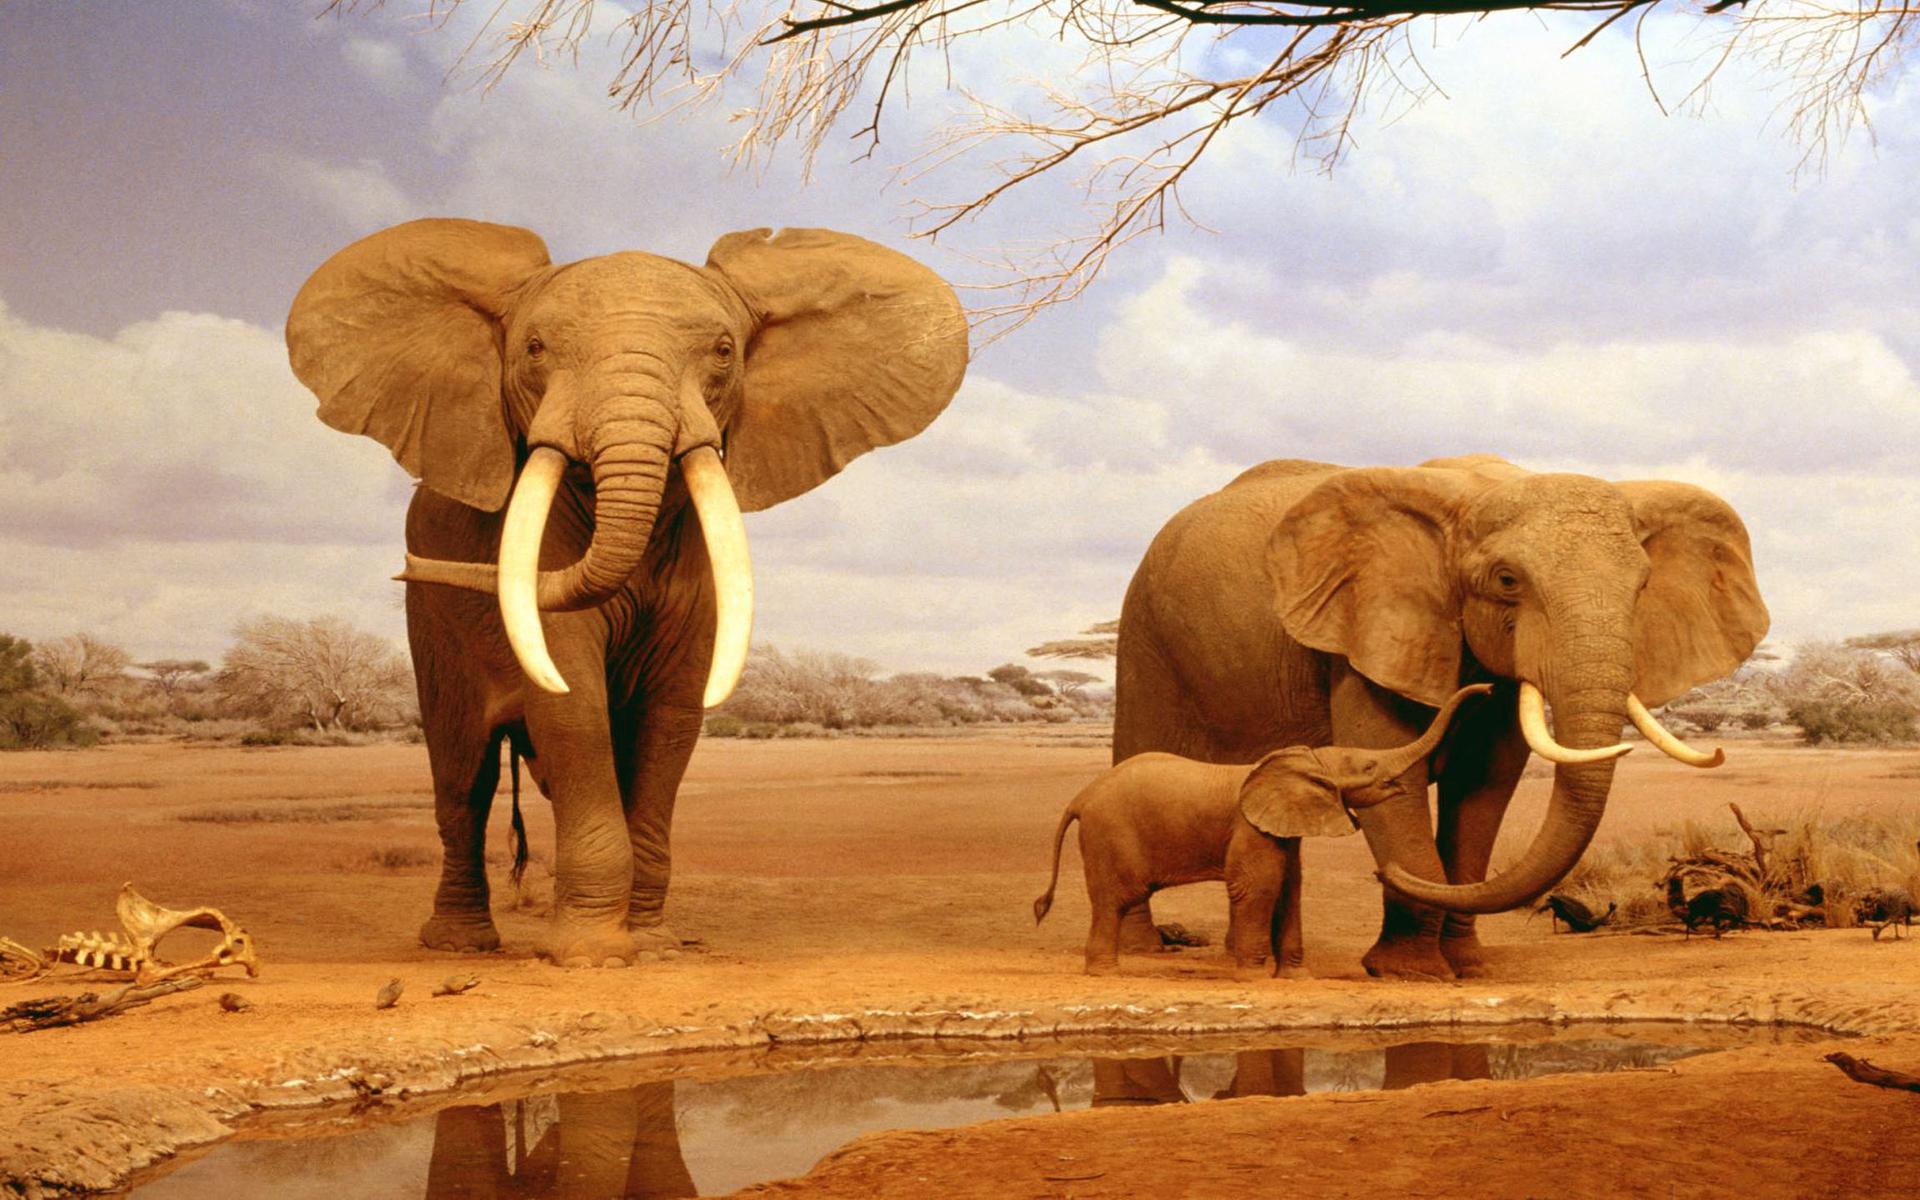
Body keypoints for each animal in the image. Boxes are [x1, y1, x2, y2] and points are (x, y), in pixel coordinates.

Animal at [285, 218, 967, 966]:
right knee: (463, 777)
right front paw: (593, 956)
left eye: (724, 351)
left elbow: (672, 717)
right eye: (534, 349)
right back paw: (460, 946)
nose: (408, 566)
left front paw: (654, 946)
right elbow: (572, 704)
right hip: (432, 626)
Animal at [1034, 684, 1492, 978]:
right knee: (1114, 899)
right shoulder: (1249, 828)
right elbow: (1259, 887)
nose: (1487, 689)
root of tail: (1080, 798)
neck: (1306, 759)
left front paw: (1296, 978)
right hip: (1109, 834)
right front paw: (1253, 978)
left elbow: (1290, 889)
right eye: (1368, 767)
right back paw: (1106, 974)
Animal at [1114, 454, 1768, 980]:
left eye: (1643, 586)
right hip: (1145, 634)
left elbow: (1484, 790)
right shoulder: (1364, 638)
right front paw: (1412, 973)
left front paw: (1468, 968)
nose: (1383, 874)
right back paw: (1142, 950)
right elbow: (1394, 778)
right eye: (1507, 580)